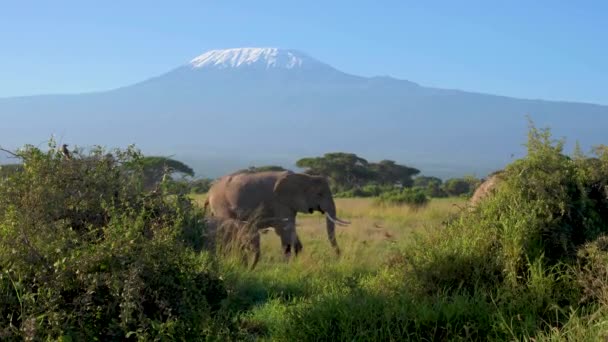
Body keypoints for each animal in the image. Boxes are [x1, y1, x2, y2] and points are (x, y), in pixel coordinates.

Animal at [204, 170, 350, 268]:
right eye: (319, 194)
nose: (339, 256)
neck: (304, 177)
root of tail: (209, 191)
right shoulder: (280, 203)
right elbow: (284, 230)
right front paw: (287, 266)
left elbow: (291, 231)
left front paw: (295, 263)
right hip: (221, 205)